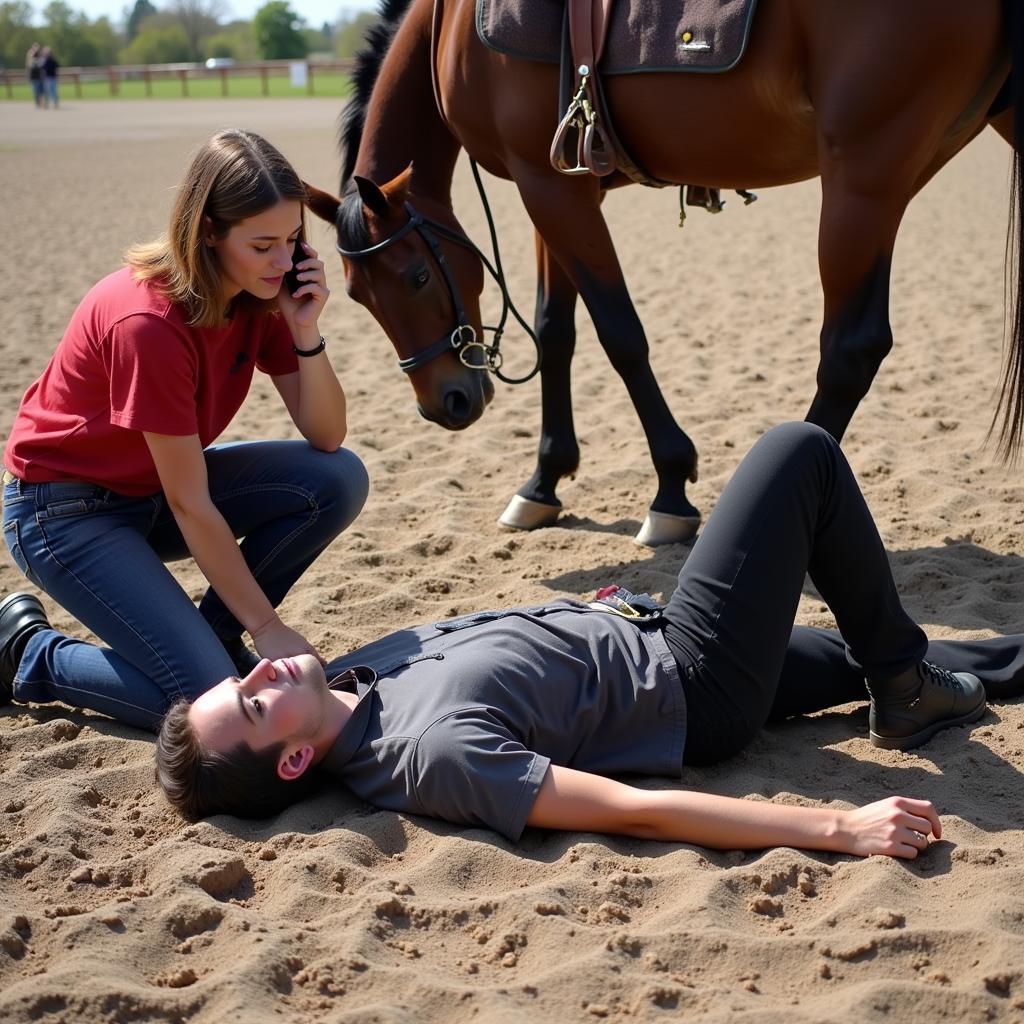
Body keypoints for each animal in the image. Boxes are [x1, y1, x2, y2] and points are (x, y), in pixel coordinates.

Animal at [305, 0, 1024, 544]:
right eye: (357, 297)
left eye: (416, 279)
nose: (444, 404)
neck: (452, 24)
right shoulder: (558, 187)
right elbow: (556, 329)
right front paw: (543, 481)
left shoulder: (549, 187)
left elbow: (620, 335)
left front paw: (672, 489)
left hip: (866, 172)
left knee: (851, 349)